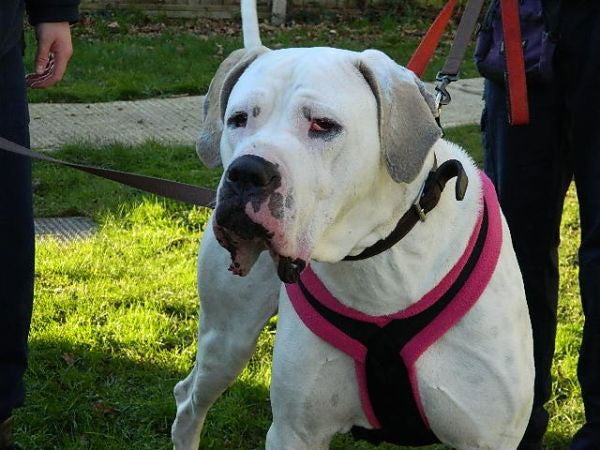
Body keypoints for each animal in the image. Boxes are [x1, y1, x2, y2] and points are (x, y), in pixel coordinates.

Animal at [170, 1, 536, 448]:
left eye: (323, 125)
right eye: (238, 119)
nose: (246, 172)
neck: (379, 266)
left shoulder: (488, 437)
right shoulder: (294, 432)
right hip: (227, 336)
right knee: (189, 398)